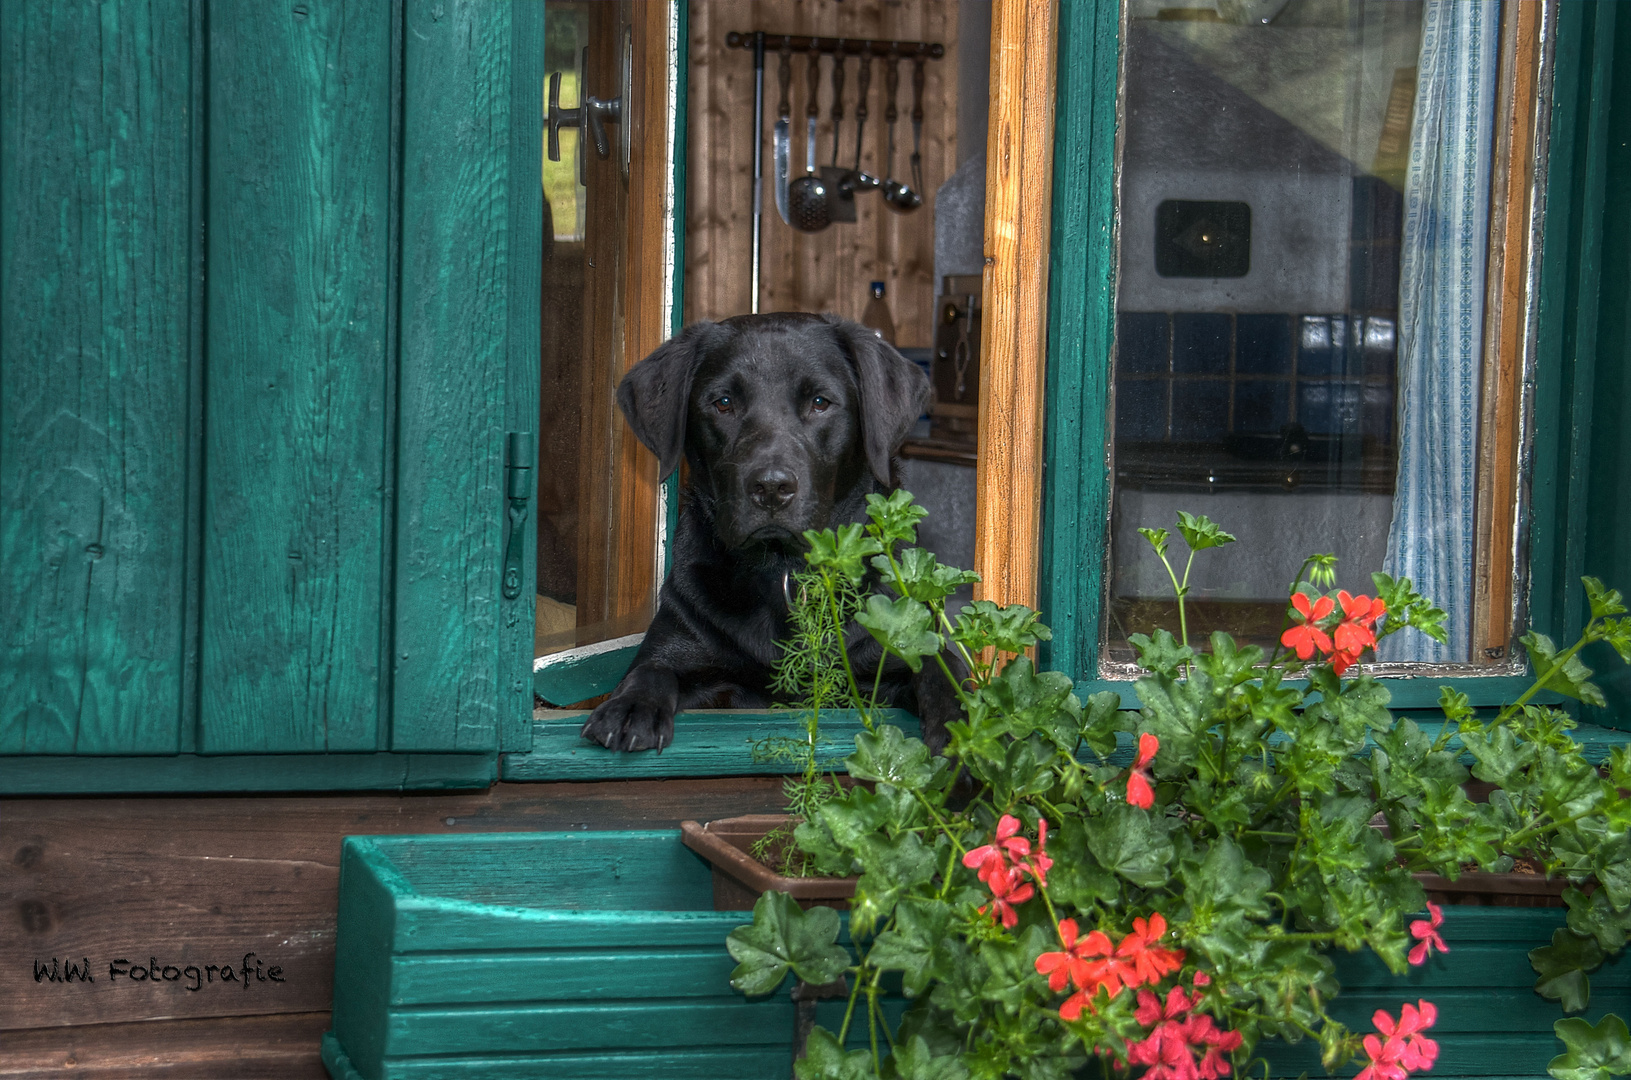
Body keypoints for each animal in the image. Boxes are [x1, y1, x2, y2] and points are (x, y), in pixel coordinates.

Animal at [583, 313, 965, 753]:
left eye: (820, 402)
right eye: (723, 403)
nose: (770, 487)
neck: (783, 571)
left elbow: (943, 668)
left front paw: (961, 726)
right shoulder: (684, 645)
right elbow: (651, 668)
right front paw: (630, 706)